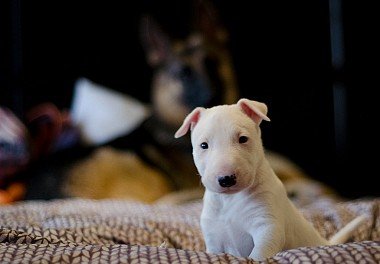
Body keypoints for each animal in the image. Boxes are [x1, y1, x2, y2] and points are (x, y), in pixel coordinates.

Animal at [174, 98, 366, 260]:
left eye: (243, 139)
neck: (230, 199)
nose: (226, 179)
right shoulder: (214, 236)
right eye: (203, 145)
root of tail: (325, 242)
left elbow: (260, 252)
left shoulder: (267, 225)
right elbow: (214, 252)